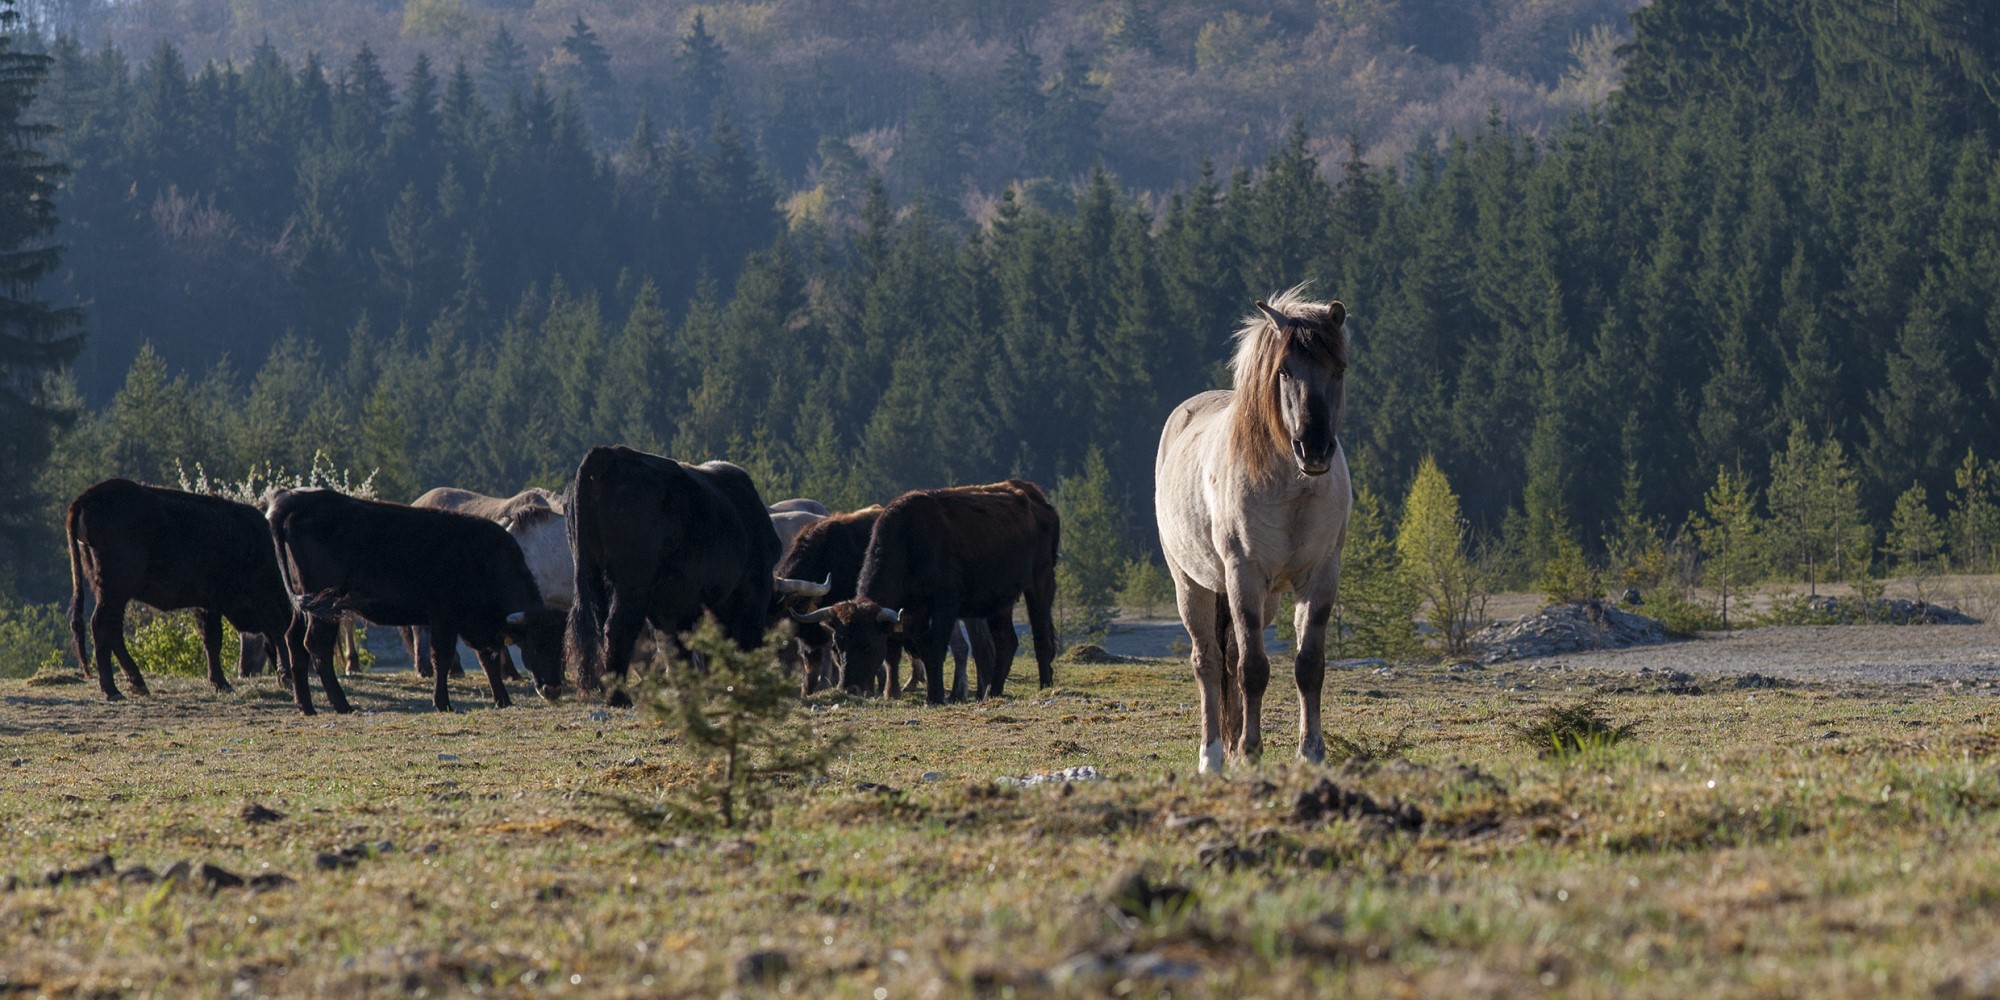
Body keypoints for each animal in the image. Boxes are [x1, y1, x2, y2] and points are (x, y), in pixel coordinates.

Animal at [264, 490, 564, 712]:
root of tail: (295, 503)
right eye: (535, 644)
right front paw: (443, 703)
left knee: (295, 642)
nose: (553, 689)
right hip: (324, 610)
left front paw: (503, 699)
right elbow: (442, 657)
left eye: (561, 646)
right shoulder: (445, 618)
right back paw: (342, 704)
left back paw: (306, 705)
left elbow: (487, 658)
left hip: (305, 607)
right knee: (317, 646)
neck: (486, 559)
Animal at [564, 448, 812, 696]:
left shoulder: (674, 604)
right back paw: (618, 697)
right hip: (631, 583)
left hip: (594, 577)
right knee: (618, 629)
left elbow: (677, 645)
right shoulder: (749, 595)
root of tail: (609, 454)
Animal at [1152, 286, 1352, 776]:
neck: (1292, 486)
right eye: (1284, 371)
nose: (1314, 448)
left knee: (1227, 657)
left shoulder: (1321, 576)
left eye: (1338, 369)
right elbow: (1252, 669)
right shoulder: (1244, 574)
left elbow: (1308, 666)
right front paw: (1249, 751)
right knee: (1208, 663)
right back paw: (1212, 756)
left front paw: (1311, 751)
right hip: (1192, 585)